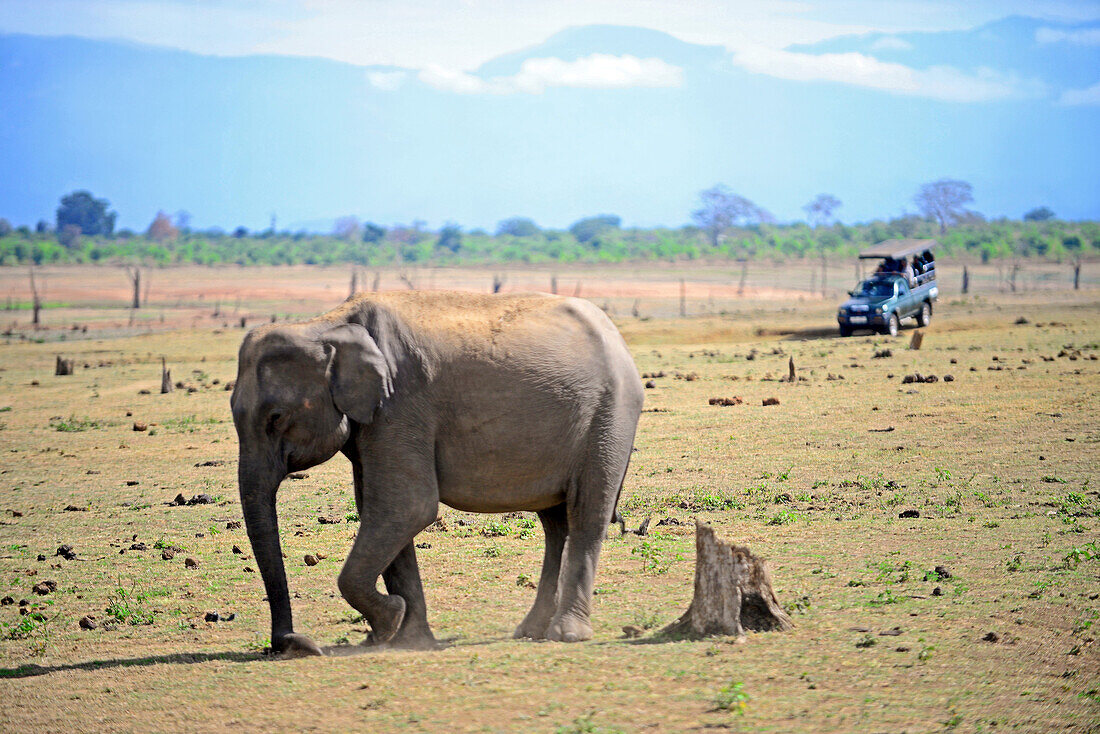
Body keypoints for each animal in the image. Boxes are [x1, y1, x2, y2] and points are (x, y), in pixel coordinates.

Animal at [232, 290, 642, 655]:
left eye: (276, 418)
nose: (293, 644)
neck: (325, 324)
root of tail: (617, 337)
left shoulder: (400, 404)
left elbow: (406, 507)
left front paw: (389, 621)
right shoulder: (377, 421)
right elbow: (382, 512)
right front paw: (403, 637)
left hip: (610, 415)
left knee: (587, 512)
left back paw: (566, 635)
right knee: (555, 524)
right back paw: (530, 631)